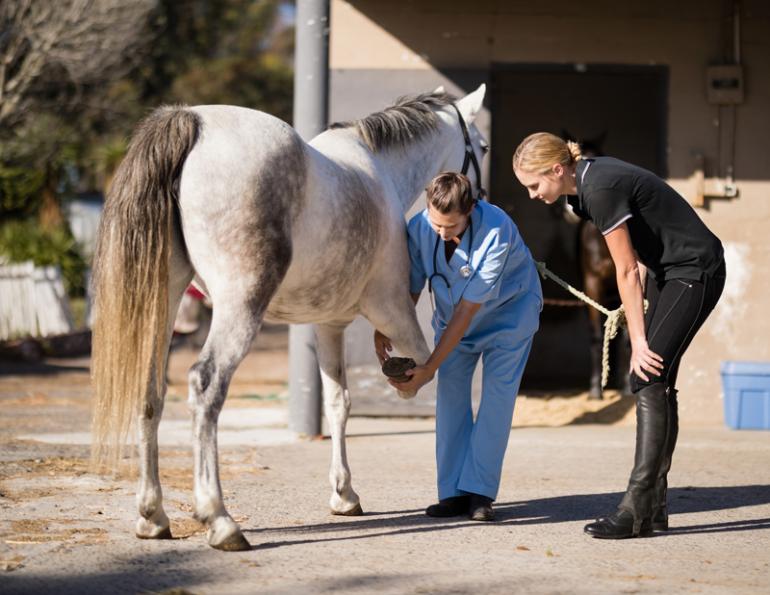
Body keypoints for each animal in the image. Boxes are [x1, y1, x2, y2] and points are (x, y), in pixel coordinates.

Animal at [90, 85, 488, 551]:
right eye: (482, 147)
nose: (481, 202)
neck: (380, 172)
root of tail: (191, 121)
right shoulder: (393, 312)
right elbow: (432, 376)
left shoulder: (329, 324)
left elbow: (338, 403)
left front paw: (344, 494)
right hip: (239, 306)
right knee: (206, 386)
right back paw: (220, 520)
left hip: (163, 302)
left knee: (150, 392)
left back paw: (153, 516)